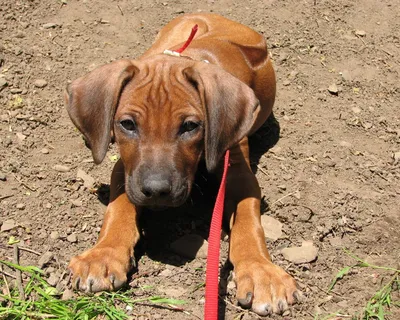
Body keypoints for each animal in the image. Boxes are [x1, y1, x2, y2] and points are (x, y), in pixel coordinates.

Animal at [65, 13, 300, 316]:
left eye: (190, 126)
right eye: (127, 124)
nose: (156, 191)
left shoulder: (238, 172)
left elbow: (249, 221)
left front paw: (261, 272)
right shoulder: (126, 169)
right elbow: (118, 208)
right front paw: (103, 254)